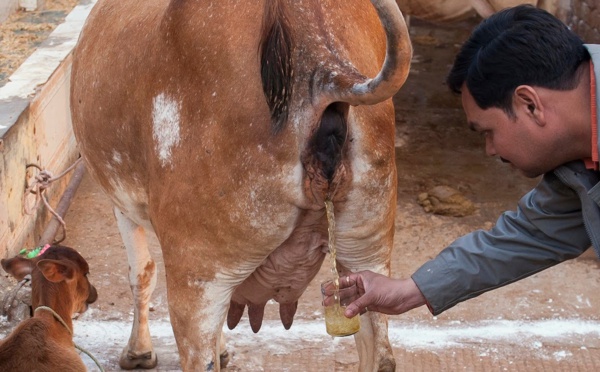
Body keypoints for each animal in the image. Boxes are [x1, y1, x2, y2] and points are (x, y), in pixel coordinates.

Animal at [68, 0, 410, 370]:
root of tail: (321, 60)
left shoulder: (123, 204)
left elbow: (141, 273)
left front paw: (139, 352)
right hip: (367, 253)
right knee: (380, 352)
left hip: (198, 276)